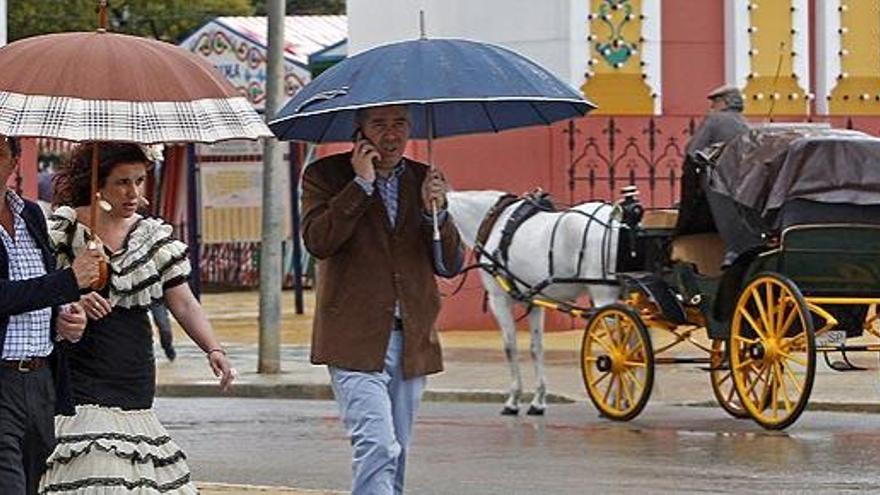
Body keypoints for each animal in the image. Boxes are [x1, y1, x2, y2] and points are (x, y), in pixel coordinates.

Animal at [446, 192, 624, 416]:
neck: (494, 220)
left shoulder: (499, 299)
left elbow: (510, 347)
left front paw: (513, 400)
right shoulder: (534, 302)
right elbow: (536, 348)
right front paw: (538, 400)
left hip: (603, 296)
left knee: (619, 346)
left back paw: (613, 399)